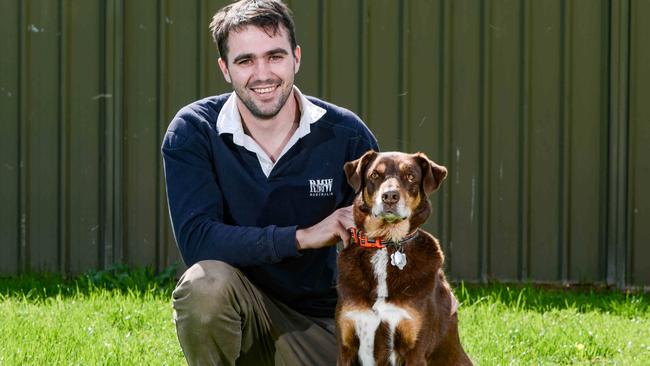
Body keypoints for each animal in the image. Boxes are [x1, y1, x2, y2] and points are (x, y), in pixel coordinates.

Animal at [336, 151, 468, 366]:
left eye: (411, 176)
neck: (386, 242)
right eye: (375, 175)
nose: (390, 196)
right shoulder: (346, 346)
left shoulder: (414, 348)